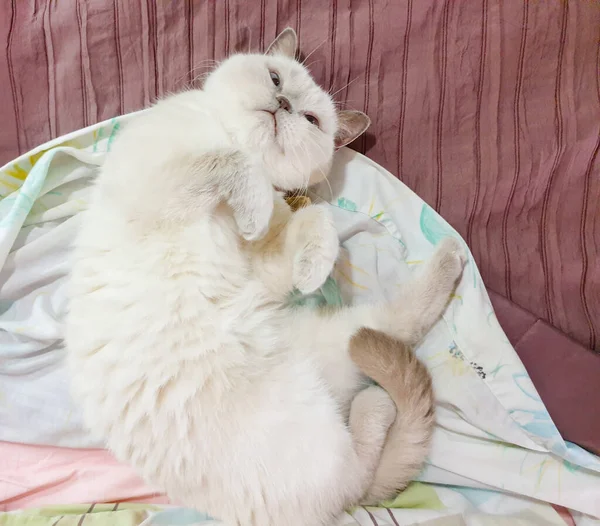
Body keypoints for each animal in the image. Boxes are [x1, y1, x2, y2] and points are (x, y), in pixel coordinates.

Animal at [65, 28, 464, 526]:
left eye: (311, 119)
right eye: (275, 78)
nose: (284, 103)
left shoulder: (265, 261)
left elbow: (314, 220)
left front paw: (311, 269)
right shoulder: (163, 189)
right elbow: (233, 162)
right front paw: (257, 211)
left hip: (338, 351)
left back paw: (449, 255)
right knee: (359, 467)